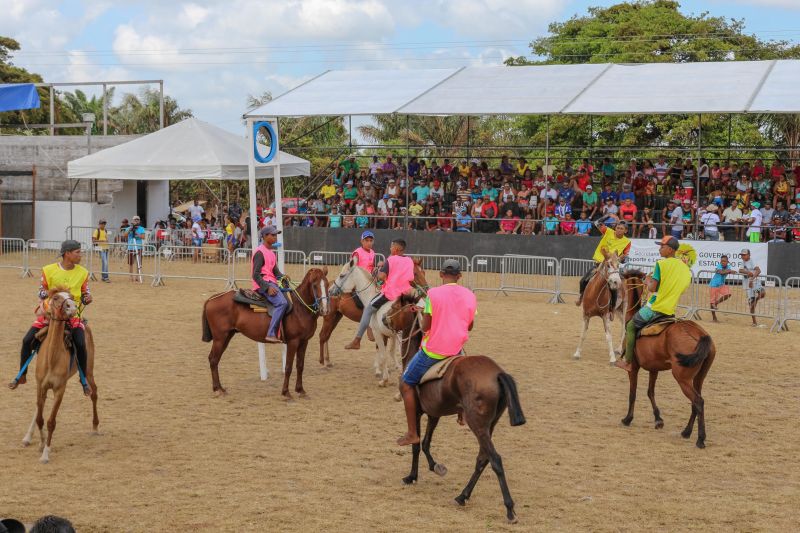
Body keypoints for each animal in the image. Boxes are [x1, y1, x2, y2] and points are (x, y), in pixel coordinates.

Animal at [21, 286, 100, 462]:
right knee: (39, 407)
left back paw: (95, 427)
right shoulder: (41, 386)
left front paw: (45, 454)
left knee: (94, 393)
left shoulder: (59, 390)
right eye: (56, 297)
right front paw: (41, 443)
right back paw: (28, 437)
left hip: (89, 371)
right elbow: (40, 417)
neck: (51, 359)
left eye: (71, 296)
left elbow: (51, 422)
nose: (72, 307)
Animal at [205, 268, 332, 396]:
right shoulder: (293, 342)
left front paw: (300, 389)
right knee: (213, 359)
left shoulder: (304, 342)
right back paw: (217, 389)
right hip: (220, 338)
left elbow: (300, 365)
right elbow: (288, 367)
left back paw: (219, 388)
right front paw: (286, 392)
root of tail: (213, 298)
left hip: (227, 336)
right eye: (314, 285)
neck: (299, 309)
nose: (325, 310)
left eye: (327, 284)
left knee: (215, 359)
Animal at [620, 270, 716, 448]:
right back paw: (686, 432)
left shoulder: (633, 368)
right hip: (698, 377)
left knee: (698, 401)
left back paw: (700, 438)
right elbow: (650, 392)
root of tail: (699, 334)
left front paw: (628, 419)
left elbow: (632, 393)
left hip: (682, 378)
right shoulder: (654, 369)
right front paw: (658, 419)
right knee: (696, 403)